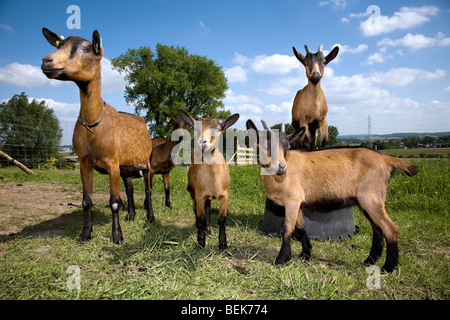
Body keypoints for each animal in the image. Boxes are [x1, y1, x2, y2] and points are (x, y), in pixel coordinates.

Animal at [42, 29, 155, 245]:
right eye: (59, 45)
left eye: (87, 48)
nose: (47, 61)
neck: (94, 127)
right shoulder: (85, 161)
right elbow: (87, 200)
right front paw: (85, 233)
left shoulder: (112, 163)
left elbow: (114, 202)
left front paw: (117, 236)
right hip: (126, 168)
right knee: (129, 189)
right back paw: (131, 215)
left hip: (145, 163)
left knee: (147, 189)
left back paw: (150, 217)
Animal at [178, 110, 239, 250]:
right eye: (195, 127)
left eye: (218, 129)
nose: (203, 142)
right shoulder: (199, 194)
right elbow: (201, 216)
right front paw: (201, 242)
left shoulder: (225, 195)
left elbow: (222, 218)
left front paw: (223, 244)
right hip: (193, 192)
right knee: (196, 209)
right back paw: (199, 228)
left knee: (208, 208)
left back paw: (209, 230)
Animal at [246, 119, 418, 272]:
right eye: (266, 145)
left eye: (287, 145)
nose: (281, 167)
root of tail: (387, 159)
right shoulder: (298, 203)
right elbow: (301, 227)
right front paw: (305, 254)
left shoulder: (292, 200)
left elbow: (287, 228)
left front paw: (282, 259)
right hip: (368, 201)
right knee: (377, 229)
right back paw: (369, 261)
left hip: (371, 198)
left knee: (390, 228)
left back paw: (388, 267)